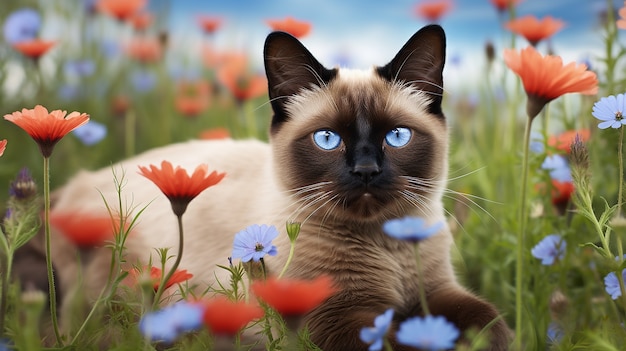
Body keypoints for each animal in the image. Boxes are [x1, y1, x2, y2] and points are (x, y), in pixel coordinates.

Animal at [17, 23, 510, 350]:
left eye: (397, 136)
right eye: (327, 139)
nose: (367, 170)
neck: (389, 249)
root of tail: (72, 185)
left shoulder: (440, 292)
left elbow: (492, 323)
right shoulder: (335, 316)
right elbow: (387, 338)